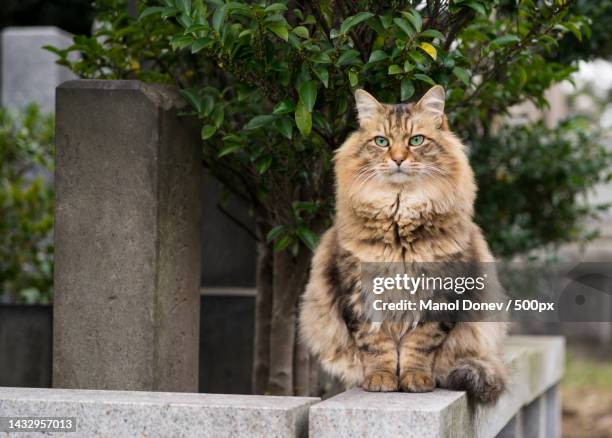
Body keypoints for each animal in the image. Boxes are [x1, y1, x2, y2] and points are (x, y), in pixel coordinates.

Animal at [300, 85, 506, 404]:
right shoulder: (358, 294)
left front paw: (415, 380)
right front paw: (381, 379)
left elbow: (420, 345)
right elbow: (376, 346)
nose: (397, 158)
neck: (399, 215)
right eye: (382, 141)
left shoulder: (441, 295)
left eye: (416, 140)